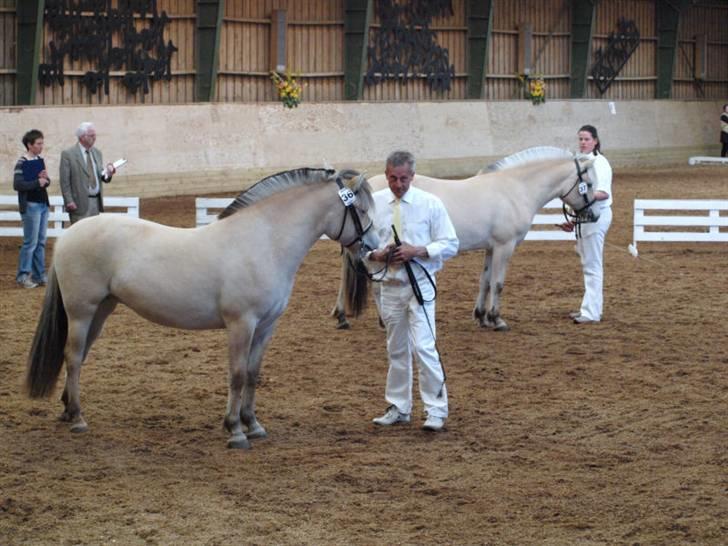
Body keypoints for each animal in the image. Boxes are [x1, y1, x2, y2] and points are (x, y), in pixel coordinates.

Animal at [25, 168, 378, 448]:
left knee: (78, 357)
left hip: (100, 311)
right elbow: (237, 375)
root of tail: (69, 233)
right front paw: (235, 431)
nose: (374, 248)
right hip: (81, 312)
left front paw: (253, 424)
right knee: (72, 357)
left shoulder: (266, 326)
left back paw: (67, 409)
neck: (263, 241)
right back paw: (78, 418)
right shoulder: (241, 324)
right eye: (360, 210)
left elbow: (253, 374)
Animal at [336, 147, 596, 330]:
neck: (514, 190)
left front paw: (481, 317)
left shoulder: (492, 248)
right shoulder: (505, 246)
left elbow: (485, 281)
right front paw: (496, 319)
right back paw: (382, 321)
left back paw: (341, 316)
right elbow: (498, 283)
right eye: (590, 183)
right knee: (376, 286)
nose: (593, 214)